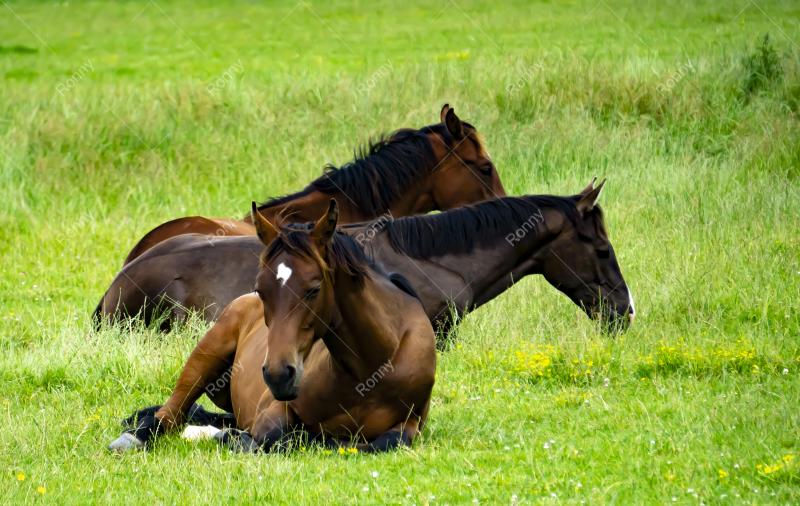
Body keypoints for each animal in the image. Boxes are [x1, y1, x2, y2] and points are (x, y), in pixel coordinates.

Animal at [109, 199, 436, 453]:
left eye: (313, 289)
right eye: (261, 289)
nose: (279, 375)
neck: (367, 371)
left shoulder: (410, 425)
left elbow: (380, 442)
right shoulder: (273, 412)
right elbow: (280, 438)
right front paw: (226, 438)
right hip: (205, 357)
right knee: (170, 414)